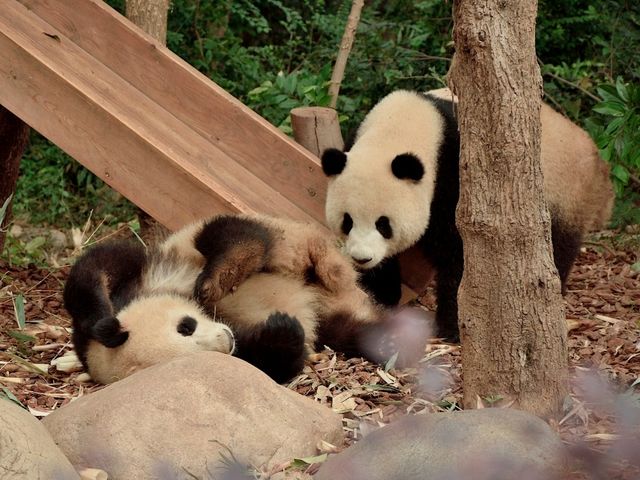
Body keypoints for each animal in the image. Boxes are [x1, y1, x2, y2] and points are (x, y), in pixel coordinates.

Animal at [66, 213, 430, 382]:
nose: (224, 340)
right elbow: (273, 365)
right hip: (335, 314)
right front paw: (282, 330)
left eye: (186, 326)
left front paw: (105, 325)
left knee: (231, 233)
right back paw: (390, 339)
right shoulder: (244, 353)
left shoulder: (147, 275)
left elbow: (100, 265)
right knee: (348, 329)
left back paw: (228, 268)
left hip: (282, 247)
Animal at [322, 89, 616, 342]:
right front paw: (382, 295)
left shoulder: (456, 175)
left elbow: (460, 254)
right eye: (347, 221)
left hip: (566, 192)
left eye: (384, 225)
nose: (362, 258)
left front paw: (452, 327)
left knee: (559, 243)